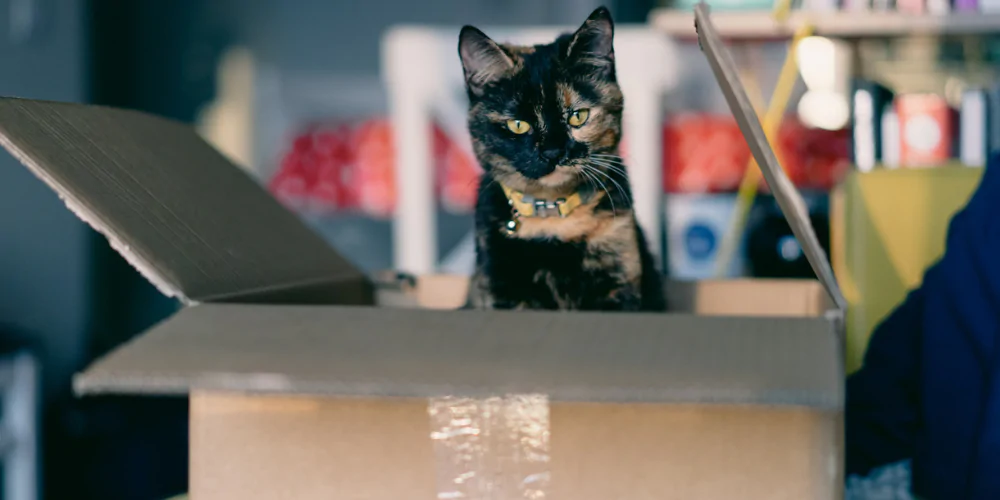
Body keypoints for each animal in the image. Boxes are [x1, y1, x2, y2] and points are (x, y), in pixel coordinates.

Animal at [458, 6, 664, 312]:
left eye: (578, 116)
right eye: (518, 125)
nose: (554, 152)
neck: (553, 212)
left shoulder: (619, 280)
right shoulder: (501, 289)